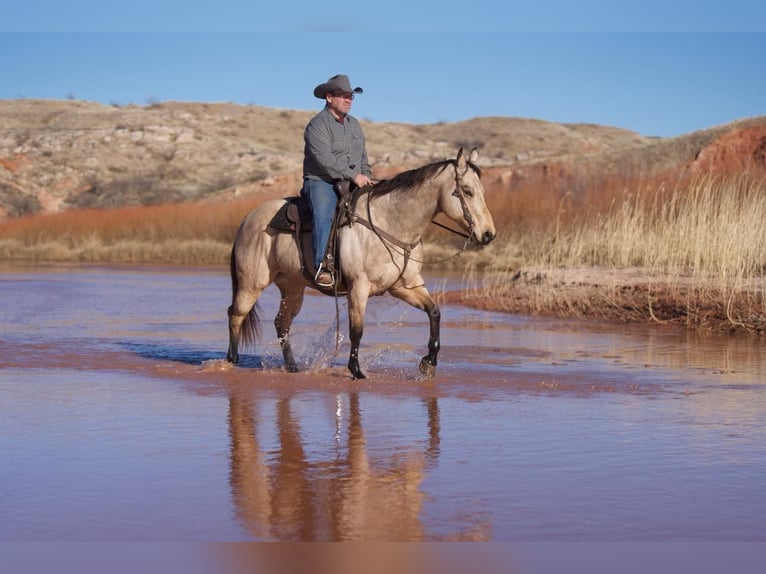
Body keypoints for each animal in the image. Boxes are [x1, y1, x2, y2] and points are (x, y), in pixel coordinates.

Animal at [226, 148, 498, 380]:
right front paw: (356, 370)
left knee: (281, 323)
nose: (488, 234)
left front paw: (428, 363)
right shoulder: (359, 287)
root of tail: (248, 219)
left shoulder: (405, 286)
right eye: (467, 191)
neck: (389, 222)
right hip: (252, 283)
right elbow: (357, 329)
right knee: (236, 313)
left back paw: (292, 367)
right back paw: (231, 360)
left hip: (293, 288)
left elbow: (435, 312)